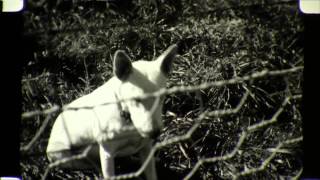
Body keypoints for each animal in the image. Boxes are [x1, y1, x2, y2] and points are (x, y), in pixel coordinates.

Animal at [46, 44, 179, 179]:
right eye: (136, 99)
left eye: (162, 97)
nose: (155, 133)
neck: (128, 120)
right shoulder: (107, 154)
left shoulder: (146, 149)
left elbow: (151, 173)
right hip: (64, 156)